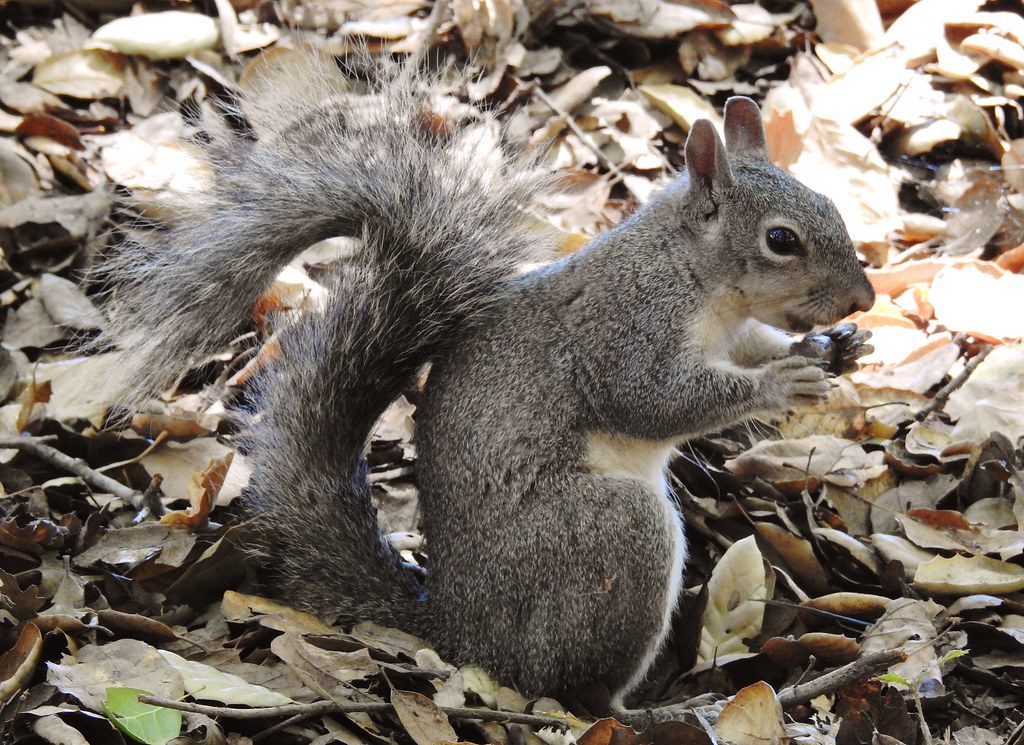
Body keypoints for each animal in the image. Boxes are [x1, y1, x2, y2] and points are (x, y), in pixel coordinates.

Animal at [98, 50, 875, 722]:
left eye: (832, 206)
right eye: (781, 240)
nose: (863, 300)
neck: (698, 282)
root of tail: (462, 633)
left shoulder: (731, 333)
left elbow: (751, 348)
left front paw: (834, 351)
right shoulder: (625, 329)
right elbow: (652, 399)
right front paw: (781, 381)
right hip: (610, 539)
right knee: (577, 691)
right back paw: (660, 710)